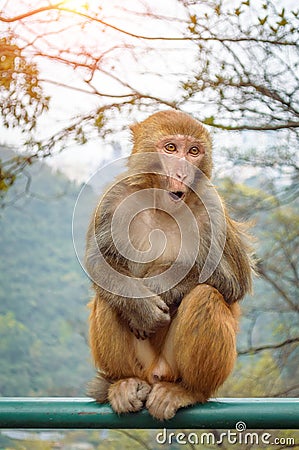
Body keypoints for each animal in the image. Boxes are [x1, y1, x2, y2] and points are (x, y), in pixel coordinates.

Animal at [85, 110, 255, 422]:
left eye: (194, 152)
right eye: (171, 148)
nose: (182, 172)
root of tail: (154, 374)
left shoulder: (214, 208)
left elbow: (234, 282)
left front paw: (159, 286)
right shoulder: (115, 197)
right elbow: (100, 264)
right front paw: (140, 304)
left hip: (175, 367)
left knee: (206, 296)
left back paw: (188, 391)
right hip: (141, 364)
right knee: (108, 297)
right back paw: (124, 383)